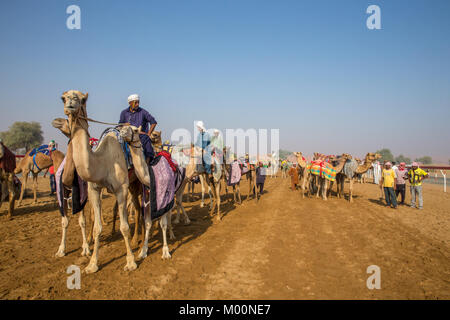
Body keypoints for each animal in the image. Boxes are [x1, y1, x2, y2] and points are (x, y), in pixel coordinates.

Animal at [52, 90, 135, 272]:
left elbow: (125, 227)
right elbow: (97, 227)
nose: (70, 103)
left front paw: (131, 261)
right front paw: (92, 264)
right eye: (63, 97)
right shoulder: (93, 190)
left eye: (82, 99)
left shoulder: (122, 189)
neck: (102, 161)